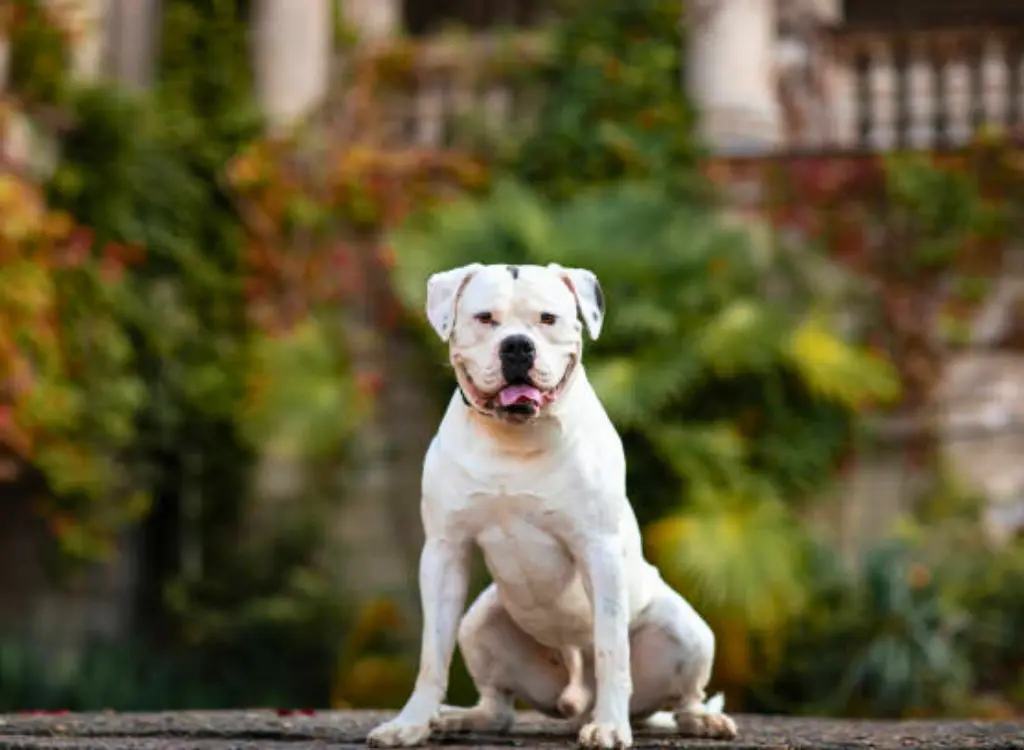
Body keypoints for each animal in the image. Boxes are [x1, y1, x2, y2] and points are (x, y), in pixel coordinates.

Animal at [368, 260, 737, 745]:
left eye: (548, 319)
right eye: (485, 318)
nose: (517, 345)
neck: (514, 437)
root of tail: (577, 702)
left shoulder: (599, 550)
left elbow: (610, 649)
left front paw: (611, 727)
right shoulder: (445, 550)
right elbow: (433, 652)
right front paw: (410, 723)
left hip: (687, 631)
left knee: (686, 693)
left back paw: (696, 720)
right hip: (479, 622)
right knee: (499, 705)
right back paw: (460, 718)